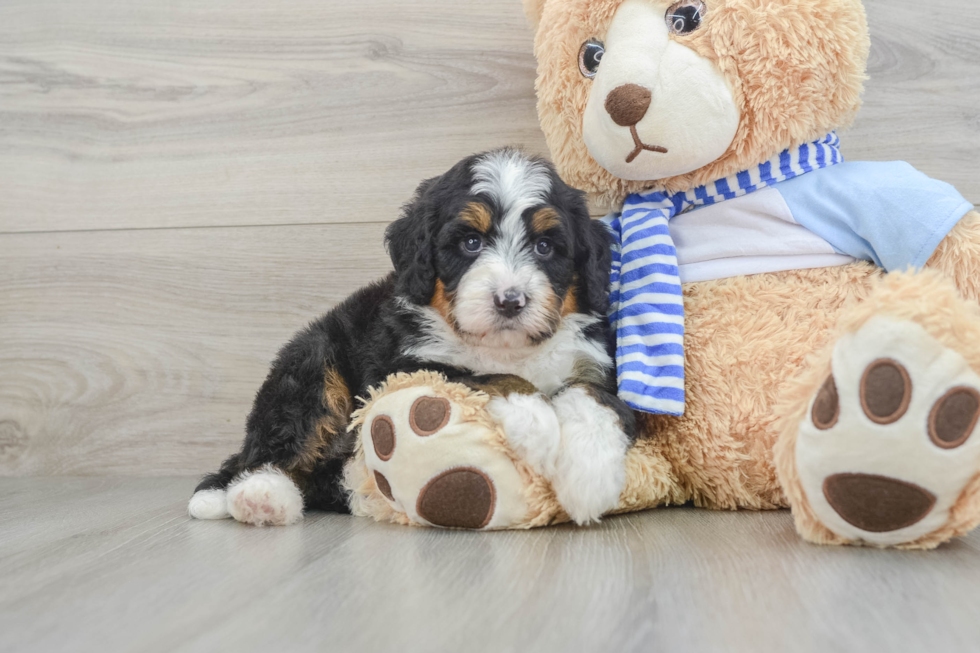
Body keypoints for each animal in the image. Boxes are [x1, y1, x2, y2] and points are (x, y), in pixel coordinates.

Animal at [189, 148, 640, 524]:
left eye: (545, 247)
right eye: (471, 242)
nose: (510, 301)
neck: (507, 349)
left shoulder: (595, 363)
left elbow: (593, 397)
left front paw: (590, 475)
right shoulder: (404, 365)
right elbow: (483, 376)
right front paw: (535, 422)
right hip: (312, 367)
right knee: (270, 451)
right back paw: (256, 496)